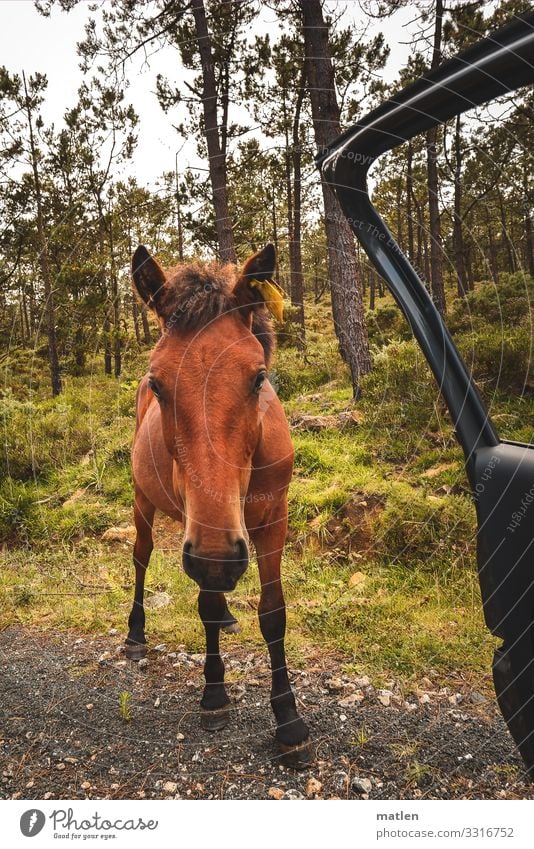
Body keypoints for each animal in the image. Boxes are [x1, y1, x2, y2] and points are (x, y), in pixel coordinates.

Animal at [126, 242, 312, 764]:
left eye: (258, 378)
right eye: (159, 383)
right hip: (143, 504)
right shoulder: (201, 535)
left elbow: (273, 612)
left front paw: (288, 719)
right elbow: (205, 603)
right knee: (141, 558)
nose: (218, 560)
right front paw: (214, 695)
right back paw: (135, 635)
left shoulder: (272, 522)